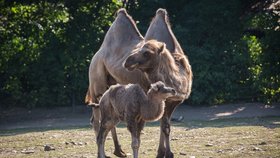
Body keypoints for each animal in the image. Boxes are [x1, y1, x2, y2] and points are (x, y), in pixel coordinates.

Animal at [85, 8, 192, 158]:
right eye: (138, 49)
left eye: (147, 53)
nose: (127, 61)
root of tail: (96, 55)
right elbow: (164, 126)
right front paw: (167, 153)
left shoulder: (172, 102)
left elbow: (165, 126)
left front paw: (163, 152)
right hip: (96, 80)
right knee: (96, 119)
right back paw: (103, 152)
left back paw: (119, 151)